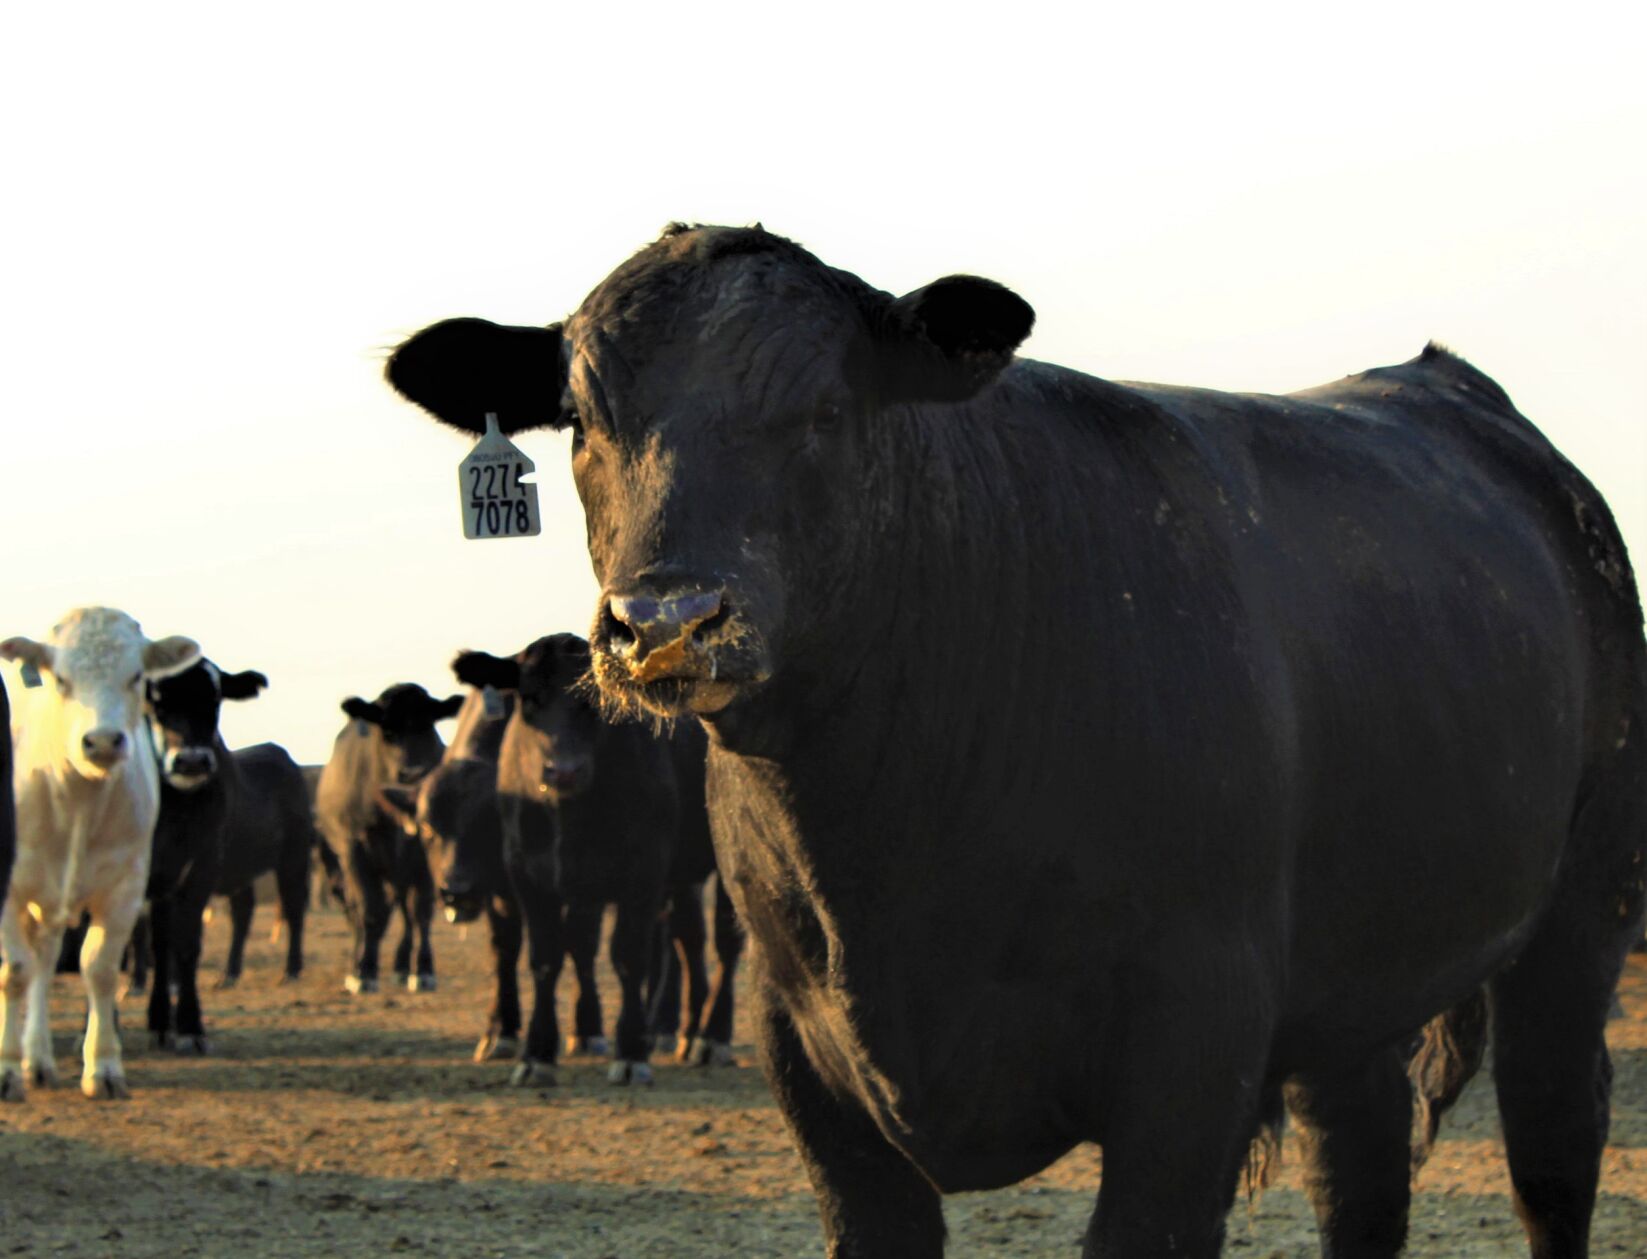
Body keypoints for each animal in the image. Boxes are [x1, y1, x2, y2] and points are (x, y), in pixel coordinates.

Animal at [0, 608, 200, 1100]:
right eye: (60, 679)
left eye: (136, 677)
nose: (104, 741)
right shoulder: (9, 889)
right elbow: (14, 970)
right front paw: (6, 1071)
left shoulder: (126, 885)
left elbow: (100, 968)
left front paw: (104, 1067)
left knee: (46, 961)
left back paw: (39, 1060)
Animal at [315, 683, 461, 994]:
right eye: (388, 732)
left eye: (428, 726)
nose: (414, 772)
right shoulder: (355, 850)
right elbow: (370, 911)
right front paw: (363, 972)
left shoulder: (422, 855)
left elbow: (420, 911)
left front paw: (424, 970)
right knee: (360, 912)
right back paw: (358, 963)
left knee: (403, 910)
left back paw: (402, 966)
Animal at [453, 635, 675, 1085]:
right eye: (529, 698)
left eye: (596, 700)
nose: (564, 771)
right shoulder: (526, 876)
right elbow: (545, 960)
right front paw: (537, 1053)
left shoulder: (646, 871)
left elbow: (629, 957)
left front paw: (631, 1052)